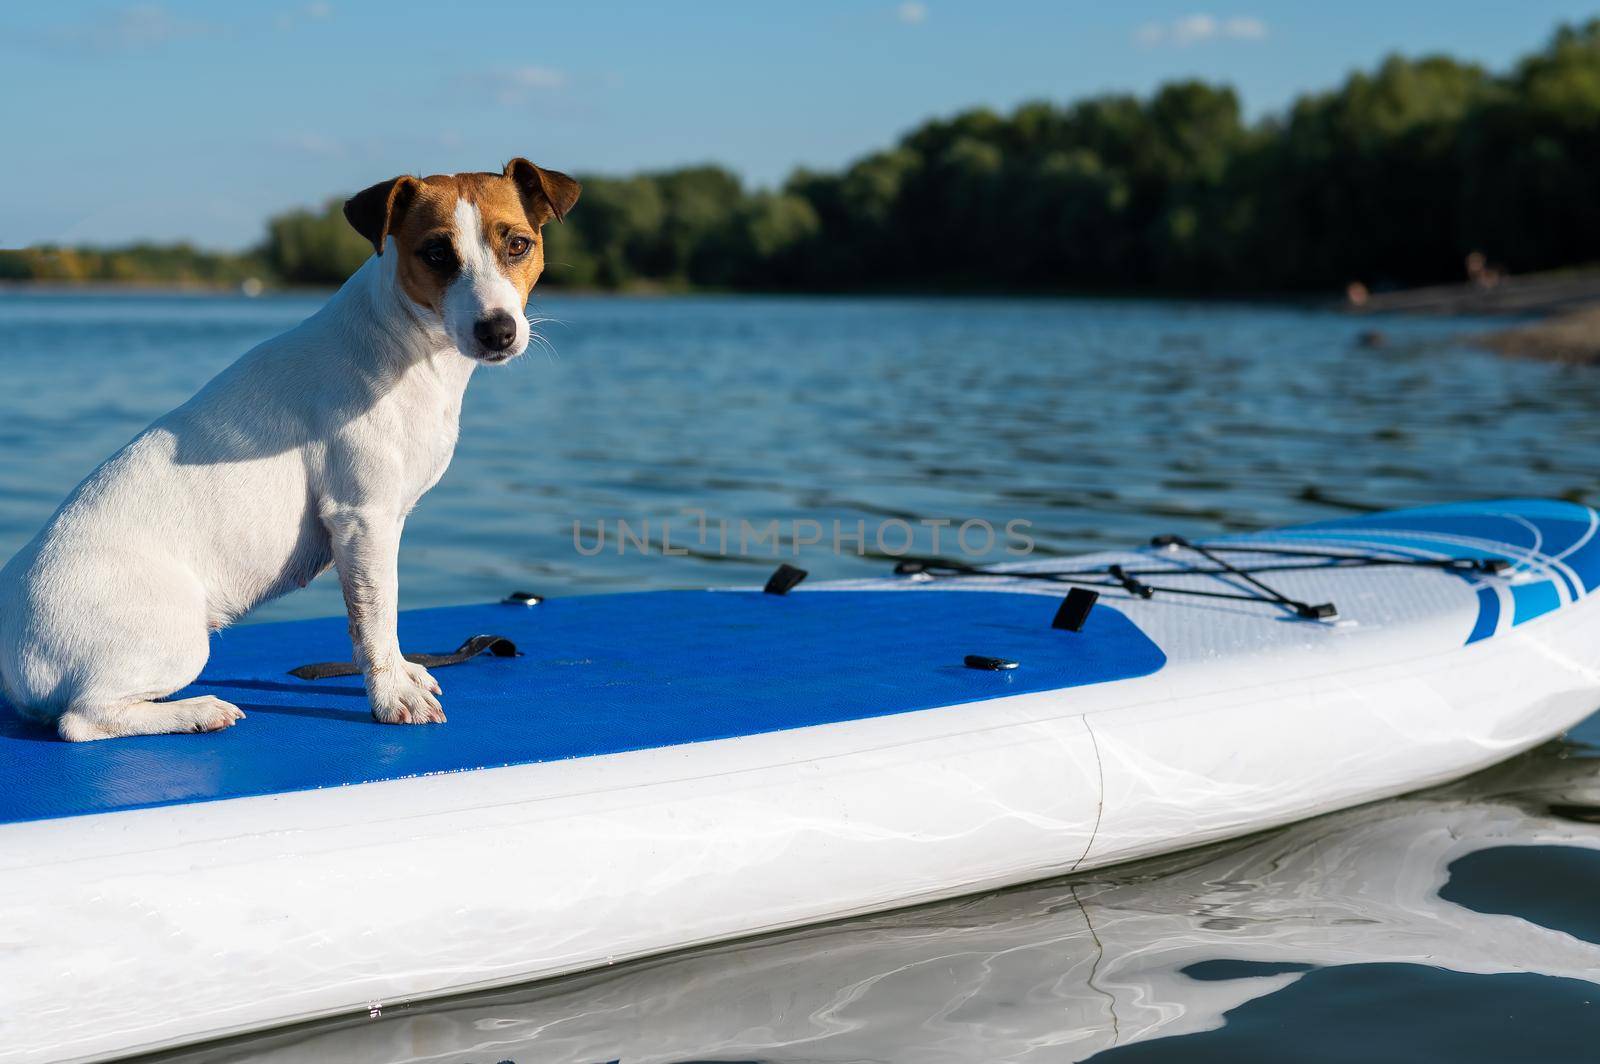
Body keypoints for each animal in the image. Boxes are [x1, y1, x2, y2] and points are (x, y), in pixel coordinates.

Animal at [0, 160, 582, 739]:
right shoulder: (361, 518)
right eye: (436, 253)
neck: (407, 342)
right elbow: (375, 618)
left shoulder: (386, 523)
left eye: (519, 245)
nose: (497, 330)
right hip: (175, 642)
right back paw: (198, 711)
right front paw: (392, 696)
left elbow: (387, 614)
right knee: (84, 719)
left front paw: (405, 672)